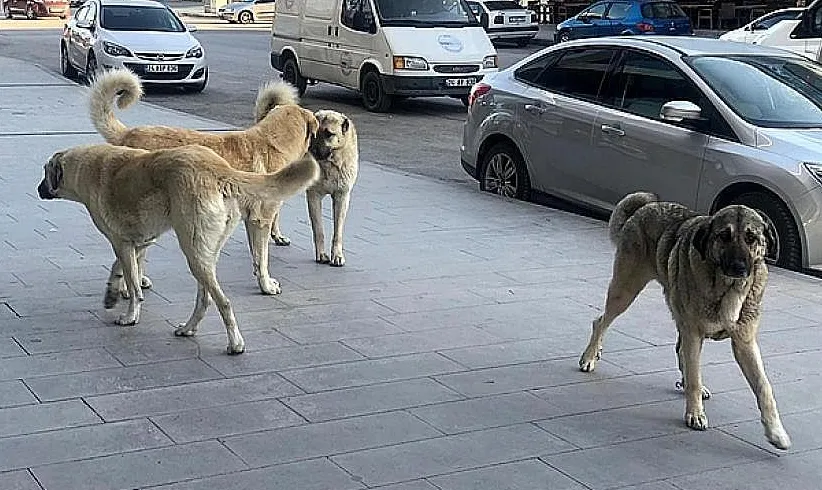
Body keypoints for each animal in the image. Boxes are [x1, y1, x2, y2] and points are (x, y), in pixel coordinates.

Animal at [40, 144, 320, 354]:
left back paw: (235, 343)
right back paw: (188, 329)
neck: (84, 168)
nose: (38, 189)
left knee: (223, 302)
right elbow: (121, 268)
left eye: (44, 173)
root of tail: (220, 169)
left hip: (193, 251)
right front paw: (112, 293)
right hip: (204, 253)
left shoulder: (121, 243)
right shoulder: (138, 242)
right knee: (205, 298)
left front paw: (130, 315)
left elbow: (133, 285)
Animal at [88, 69, 318, 296]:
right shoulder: (262, 220)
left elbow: (255, 255)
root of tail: (128, 134)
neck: (272, 142)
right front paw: (267, 285)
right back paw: (128, 287)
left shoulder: (251, 220)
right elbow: (263, 258)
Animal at [308, 109, 358, 266]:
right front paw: (321, 255)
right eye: (314, 133)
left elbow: (338, 231)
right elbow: (319, 230)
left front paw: (337, 255)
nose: (312, 152)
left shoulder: (342, 197)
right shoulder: (313, 196)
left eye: (329, 134)